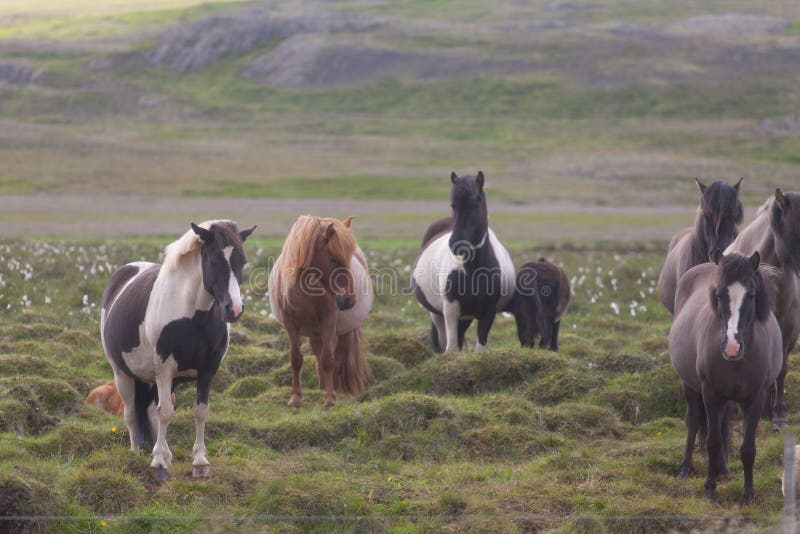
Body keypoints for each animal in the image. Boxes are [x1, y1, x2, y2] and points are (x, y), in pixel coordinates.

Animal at [101, 221, 253, 482]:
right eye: (214, 261)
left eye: (242, 261)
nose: (233, 309)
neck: (192, 315)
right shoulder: (165, 367)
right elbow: (165, 412)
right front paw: (158, 462)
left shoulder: (208, 370)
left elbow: (200, 411)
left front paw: (200, 461)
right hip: (123, 375)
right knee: (131, 413)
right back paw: (137, 452)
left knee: (148, 410)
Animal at [268, 216, 370, 408]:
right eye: (334, 259)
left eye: (349, 258)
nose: (349, 300)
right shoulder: (291, 325)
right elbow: (296, 359)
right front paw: (295, 398)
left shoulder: (328, 323)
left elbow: (329, 360)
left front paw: (330, 398)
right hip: (314, 333)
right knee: (318, 355)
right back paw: (322, 386)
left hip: (343, 331)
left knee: (337, 359)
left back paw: (333, 390)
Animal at [410, 172, 516, 354]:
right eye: (453, 204)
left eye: (476, 201)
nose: (456, 244)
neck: (473, 271)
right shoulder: (450, 309)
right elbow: (450, 348)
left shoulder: (488, 312)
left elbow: (479, 348)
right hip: (437, 314)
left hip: (465, 317)